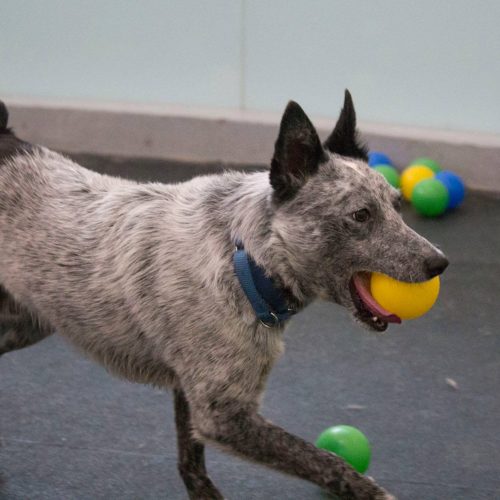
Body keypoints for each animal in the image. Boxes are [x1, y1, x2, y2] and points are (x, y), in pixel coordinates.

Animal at [0, 92, 446, 498]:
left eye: (397, 206)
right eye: (360, 215)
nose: (439, 264)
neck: (246, 257)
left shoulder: (194, 395)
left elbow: (191, 462)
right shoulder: (223, 415)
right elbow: (326, 460)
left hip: (24, 324)